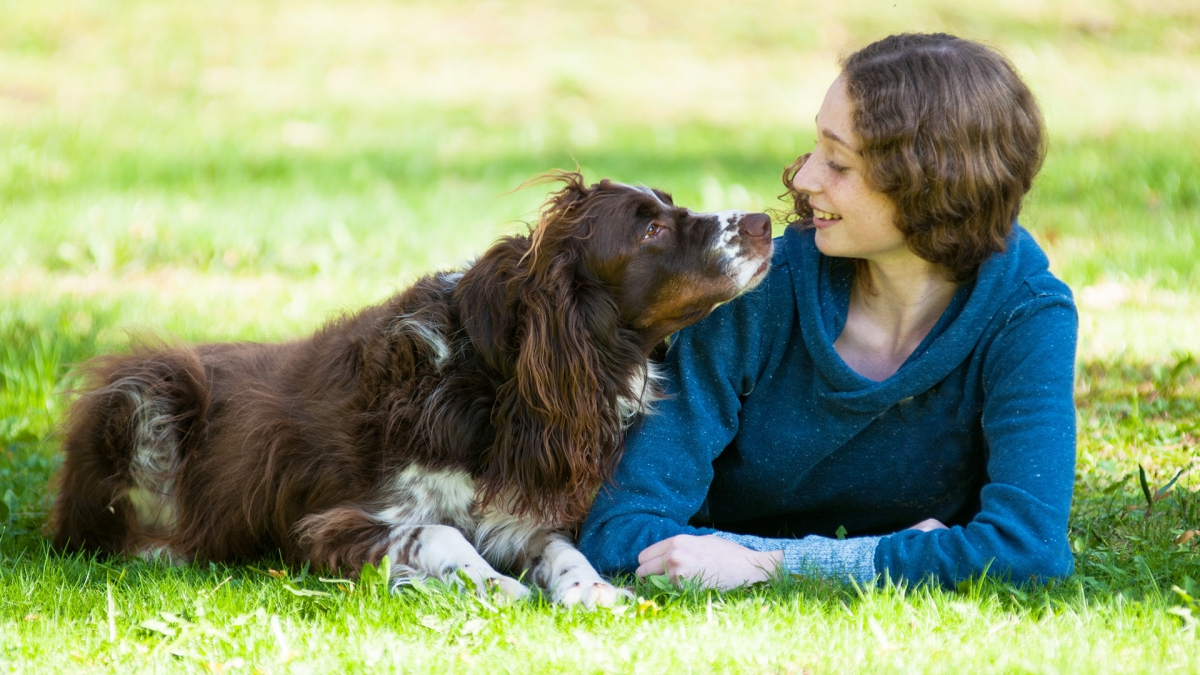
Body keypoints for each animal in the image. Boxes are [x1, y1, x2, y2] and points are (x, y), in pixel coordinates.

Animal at [51, 171, 772, 605]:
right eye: (650, 227)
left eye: (672, 206)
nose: (764, 222)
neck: (492, 381)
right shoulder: (332, 522)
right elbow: (441, 535)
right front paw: (493, 585)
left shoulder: (521, 511)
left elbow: (561, 548)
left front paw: (592, 589)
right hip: (151, 386)